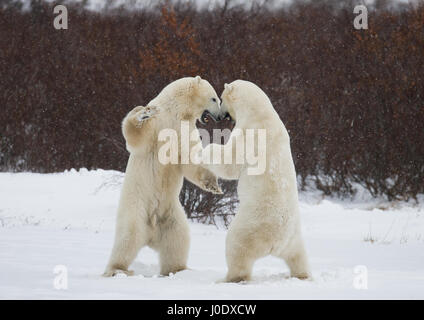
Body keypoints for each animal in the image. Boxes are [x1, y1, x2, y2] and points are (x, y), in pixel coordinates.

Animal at [103, 77, 222, 278]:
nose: (221, 116)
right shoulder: (160, 123)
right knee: (128, 237)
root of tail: (151, 233)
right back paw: (117, 270)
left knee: (178, 239)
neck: (176, 110)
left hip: (171, 214)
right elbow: (137, 137)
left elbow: (189, 158)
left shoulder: (185, 129)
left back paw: (179, 269)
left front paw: (214, 185)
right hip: (136, 208)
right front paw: (143, 113)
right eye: (214, 98)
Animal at [199, 80, 312, 282]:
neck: (260, 112)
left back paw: (230, 278)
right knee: (298, 255)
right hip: (294, 237)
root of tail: (276, 243)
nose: (219, 116)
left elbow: (230, 163)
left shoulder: (248, 134)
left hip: (250, 227)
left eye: (221, 99)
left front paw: (205, 149)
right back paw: (304, 275)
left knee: (236, 248)